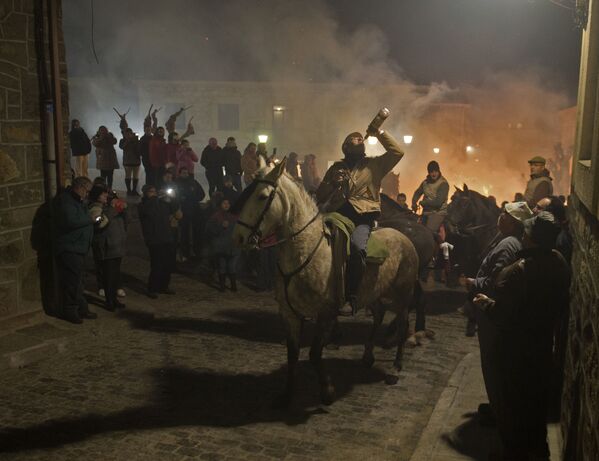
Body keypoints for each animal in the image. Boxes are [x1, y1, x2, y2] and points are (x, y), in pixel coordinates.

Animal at [232, 160, 420, 404]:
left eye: (263, 196)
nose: (238, 237)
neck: (306, 249)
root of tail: (405, 238)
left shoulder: (325, 314)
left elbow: (314, 354)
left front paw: (327, 390)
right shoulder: (290, 314)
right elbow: (292, 354)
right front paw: (287, 393)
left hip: (402, 296)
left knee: (403, 322)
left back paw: (396, 367)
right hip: (375, 294)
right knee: (378, 316)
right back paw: (368, 356)